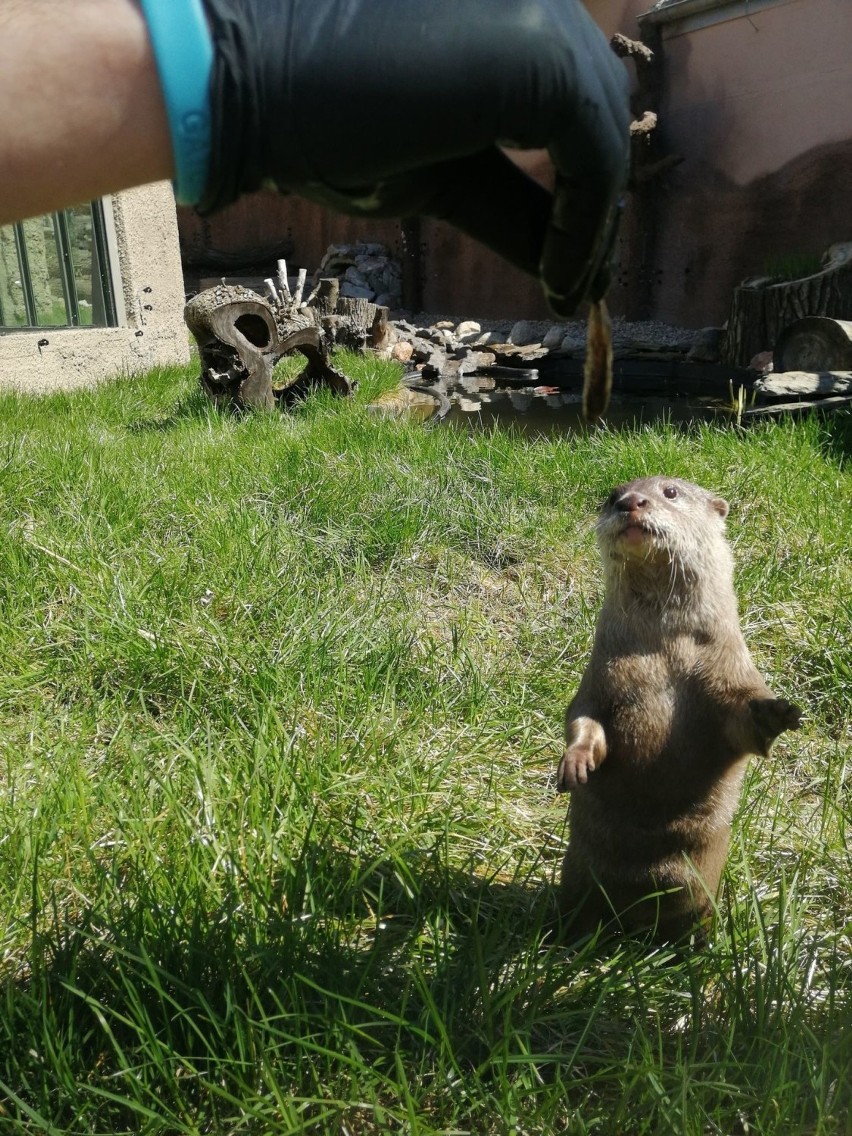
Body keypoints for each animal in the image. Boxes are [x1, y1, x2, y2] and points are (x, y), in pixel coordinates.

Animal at [556, 474, 804, 945]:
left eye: (670, 492)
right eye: (611, 496)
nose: (630, 503)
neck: (665, 649)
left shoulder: (729, 672)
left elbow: (743, 724)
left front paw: (775, 712)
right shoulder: (600, 679)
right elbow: (583, 718)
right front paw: (575, 763)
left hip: (704, 896)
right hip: (574, 875)